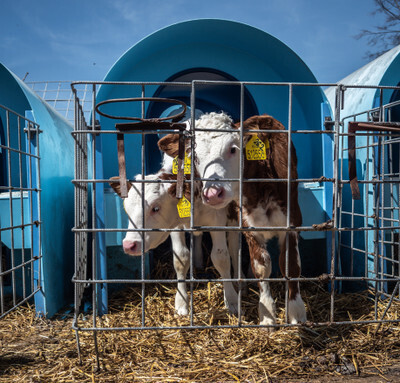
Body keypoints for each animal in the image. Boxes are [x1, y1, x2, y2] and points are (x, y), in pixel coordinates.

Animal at [109, 164, 239, 316]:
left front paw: (231, 299)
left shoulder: (217, 220)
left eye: (156, 208)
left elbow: (221, 258)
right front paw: (182, 302)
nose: (129, 245)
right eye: (126, 209)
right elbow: (181, 258)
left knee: (234, 247)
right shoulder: (176, 226)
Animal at [159, 112, 306, 328]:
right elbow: (261, 266)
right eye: (195, 157)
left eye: (233, 149)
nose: (212, 193)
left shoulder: (292, 222)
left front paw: (296, 312)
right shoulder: (248, 226)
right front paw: (267, 314)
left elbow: (291, 265)